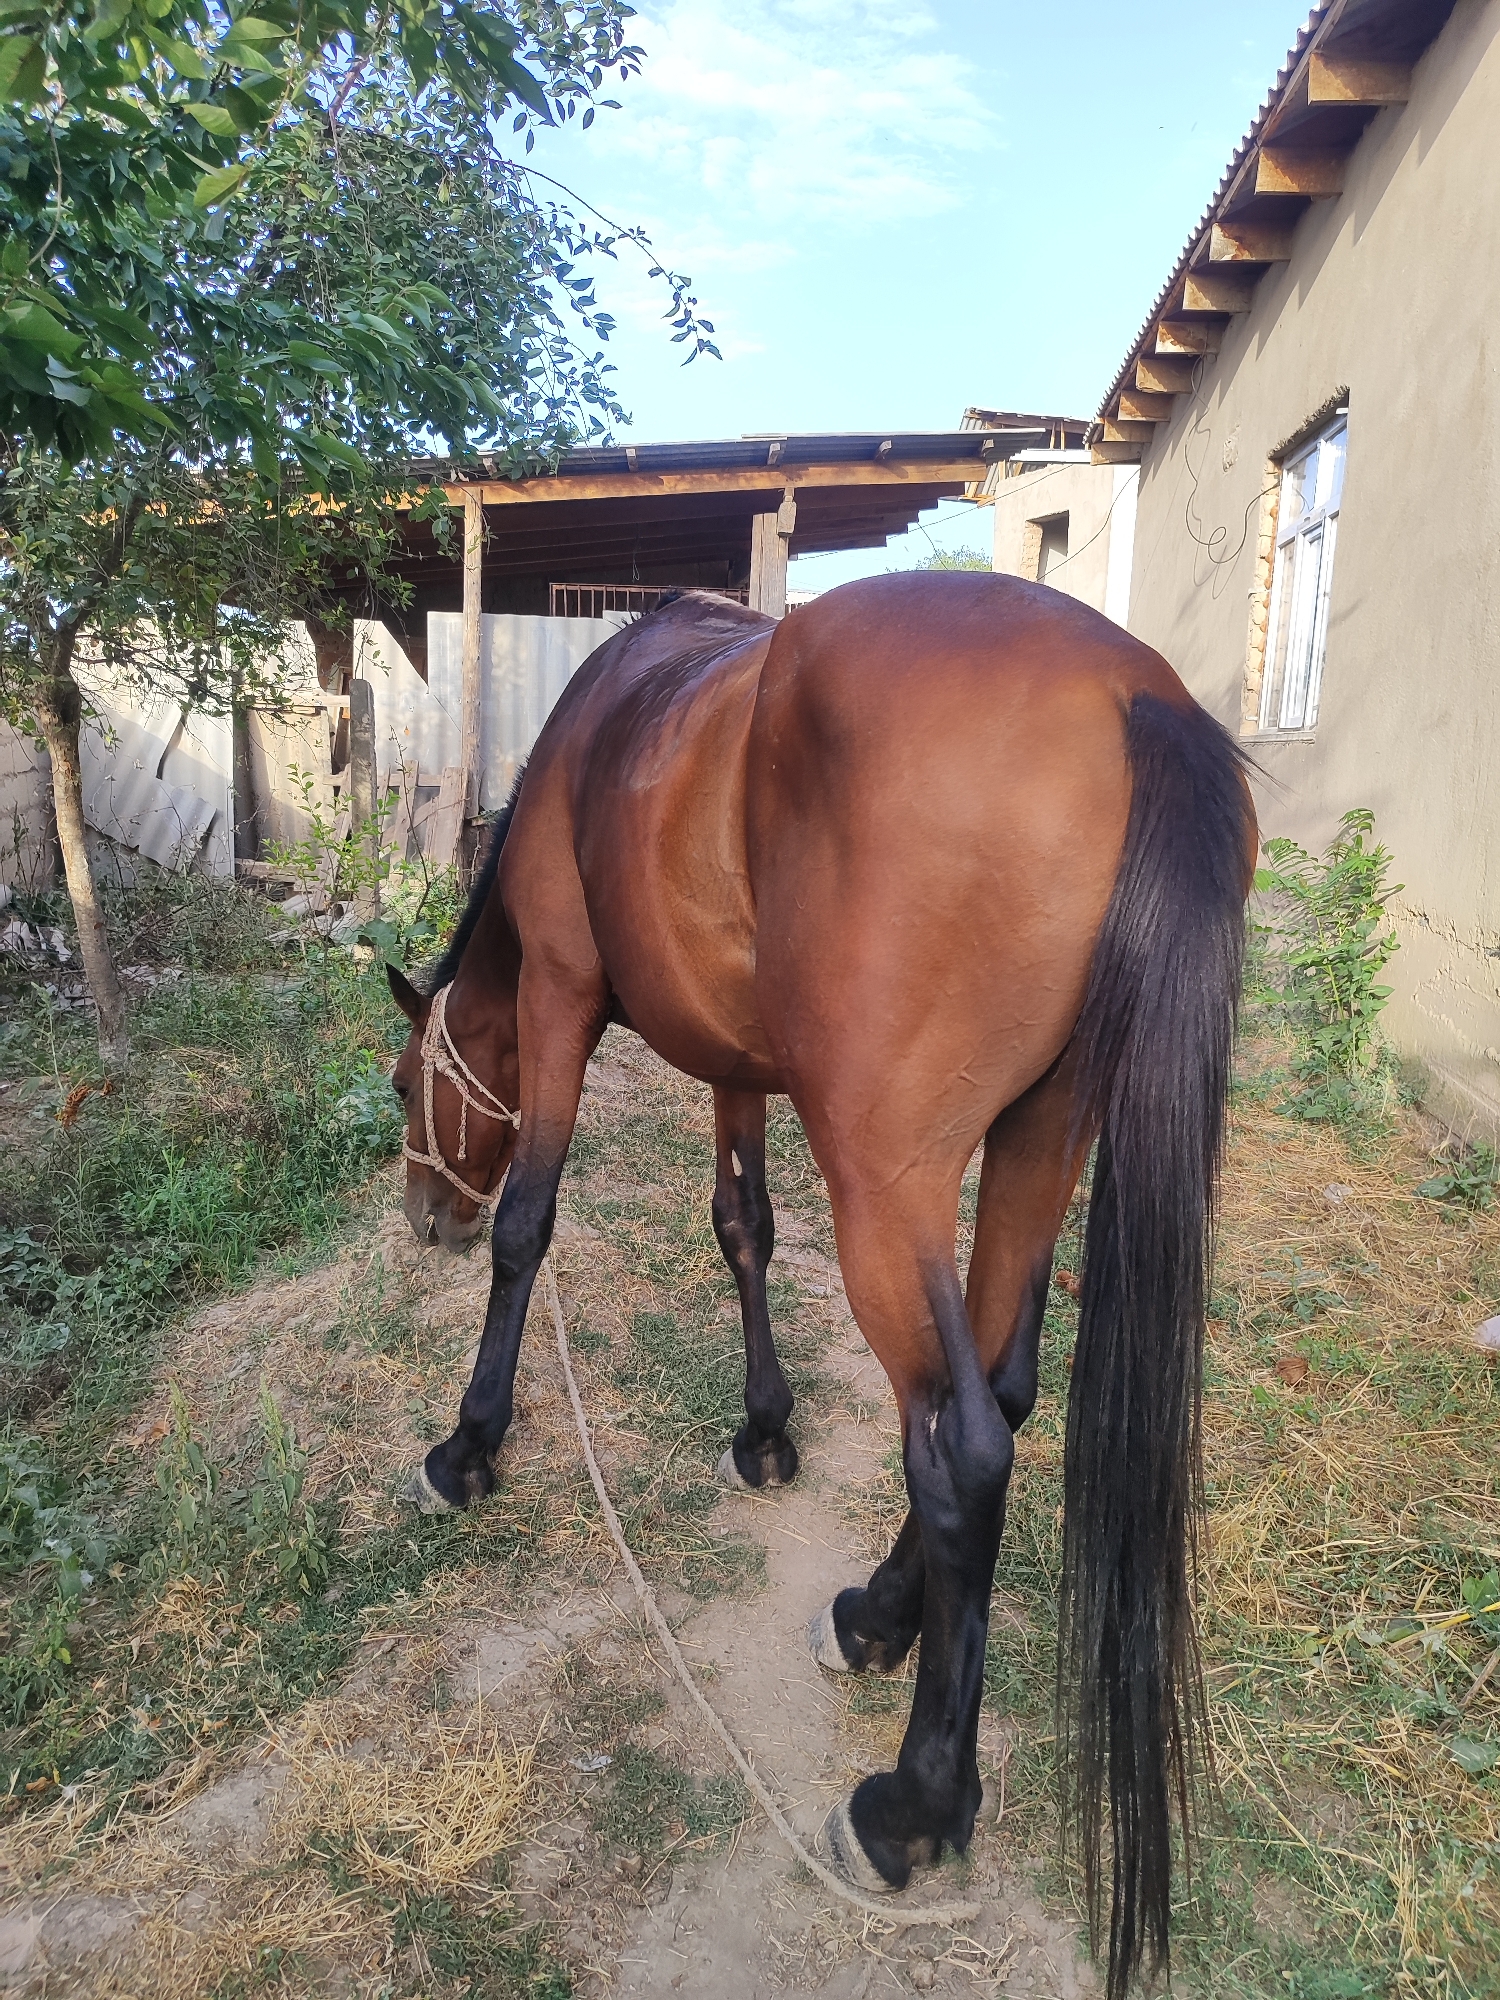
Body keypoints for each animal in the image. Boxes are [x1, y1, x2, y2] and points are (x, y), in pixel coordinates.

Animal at [385, 573, 1255, 1998]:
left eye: (410, 1083)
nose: (425, 1216)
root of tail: (1138, 698)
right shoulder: (739, 1065)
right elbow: (743, 1225)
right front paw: (765, 1427)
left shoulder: (564, 996)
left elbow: (532, 1225)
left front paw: (470, 1442)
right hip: (1040, 1139)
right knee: (1004, 1386)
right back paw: (879, 1616)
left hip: (889, 1180)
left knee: (959, 1445)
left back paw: (912, 1802)